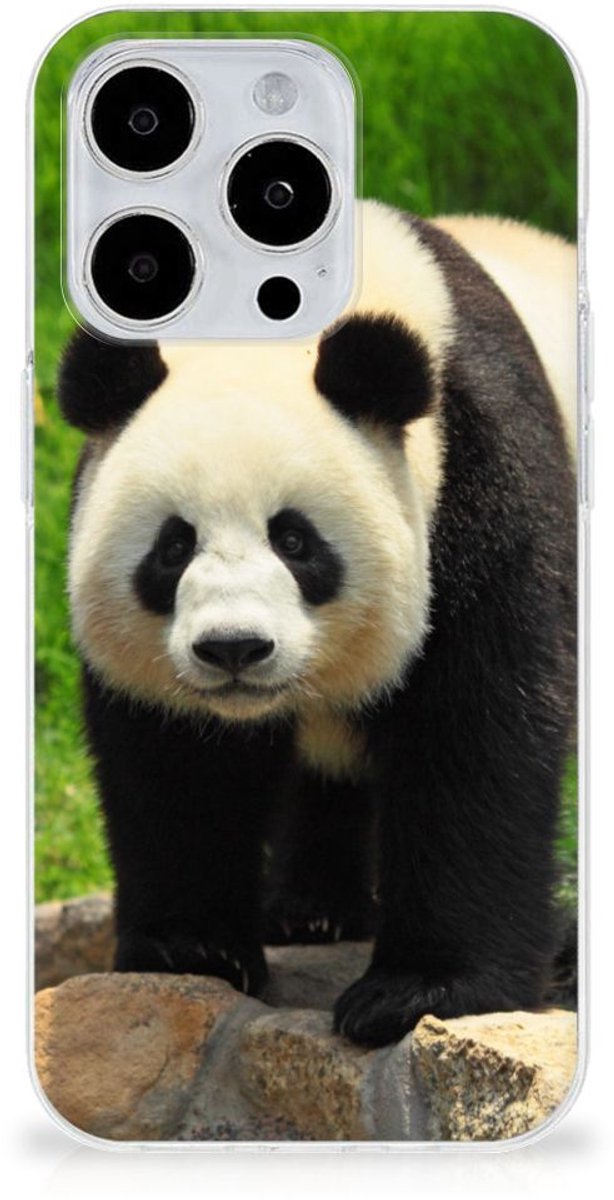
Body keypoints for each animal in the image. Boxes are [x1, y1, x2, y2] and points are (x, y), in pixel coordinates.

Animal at [58, 201, 577, 1048]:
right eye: (173, 546)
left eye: (295, 540)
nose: (234, 648)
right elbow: (178, 761)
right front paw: (191, 948)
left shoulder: (483, 482)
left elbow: (477, 733)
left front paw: (420, 991)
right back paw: (310, 911)